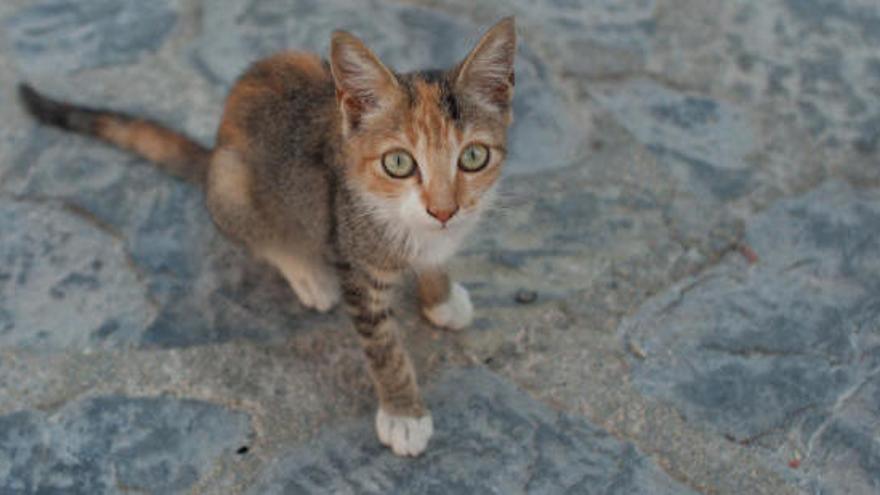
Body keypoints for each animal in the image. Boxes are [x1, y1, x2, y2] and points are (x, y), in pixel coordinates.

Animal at [17, 16, 516, 458]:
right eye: (399, 163)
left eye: (473, 157)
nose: (444, 209)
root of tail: (214, 149)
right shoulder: (353, 258)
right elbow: (383, 347)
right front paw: (404, 414)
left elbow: (436, 259)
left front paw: (440, 294)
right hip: (230, 186)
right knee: (261, 237)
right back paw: (307, 273)